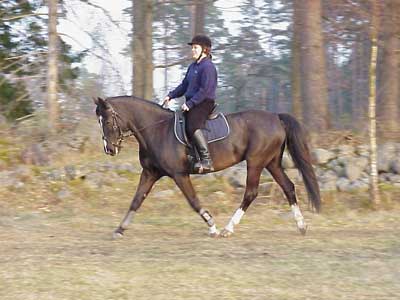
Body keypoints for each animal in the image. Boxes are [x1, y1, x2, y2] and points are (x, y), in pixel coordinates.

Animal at [94, 95, 322, 238]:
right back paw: (301, 225)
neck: (156, 130)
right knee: (288, 187)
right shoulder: (150, 173)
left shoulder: (179, 174)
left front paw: (212, 226)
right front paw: (120, 229)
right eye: (100, 122)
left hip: (256, 162)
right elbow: (136, 200)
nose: (109, 149)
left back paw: (228, 229)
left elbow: (193, 201)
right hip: (271, 163)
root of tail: (276, 117)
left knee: (251, 192)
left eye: (108, 121)